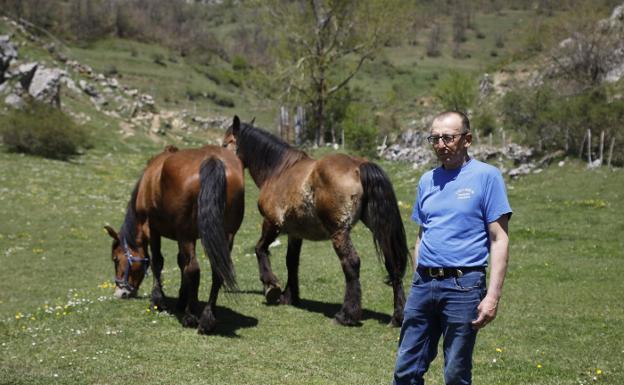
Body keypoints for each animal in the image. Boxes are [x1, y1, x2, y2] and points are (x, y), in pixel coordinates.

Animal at [105, 142, 244, 332]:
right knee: (217, 270)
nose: (120, 292)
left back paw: (191, 316)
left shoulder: (153, 230)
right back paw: (209, 315)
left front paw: (158, 300)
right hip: (225, 235)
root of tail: (213, 160)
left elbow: (157, 261)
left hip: (186, 234)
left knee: (194, 269)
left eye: (116, 259)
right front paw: (182, 298)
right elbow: (180, 263)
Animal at [224, 115, 410, 326]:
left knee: (351, 263)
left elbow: (260, 249)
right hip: (378, 228)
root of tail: (358, 166)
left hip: (339, 232)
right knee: (392, 262)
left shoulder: (272, 223)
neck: (279, 170)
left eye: (226, 143)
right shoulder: (295, 233)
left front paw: (271, 286)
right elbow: (291, 261)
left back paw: (346, 315)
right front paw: (289, 296)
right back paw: (397, 316)